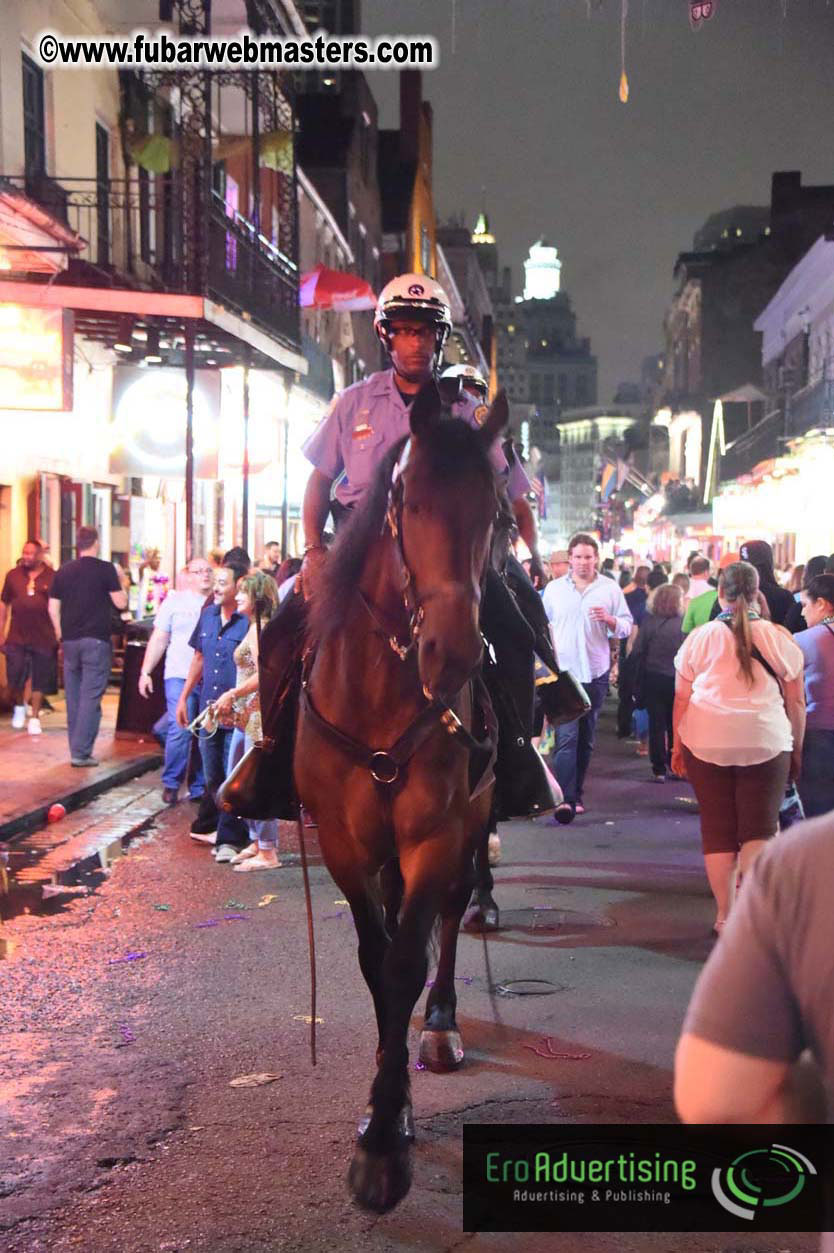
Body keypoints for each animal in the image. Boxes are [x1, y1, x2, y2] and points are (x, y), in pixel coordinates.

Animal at [296, 383, 505, 1212]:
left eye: (495, 510)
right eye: (406, 499)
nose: (454, 653)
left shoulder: (434, 831)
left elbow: (408, 959)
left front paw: (386, 1138)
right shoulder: (345, 841)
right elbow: (374, 956)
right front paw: (386, 1115)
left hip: (470, 818)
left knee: (452, 909)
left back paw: (440, 1023)